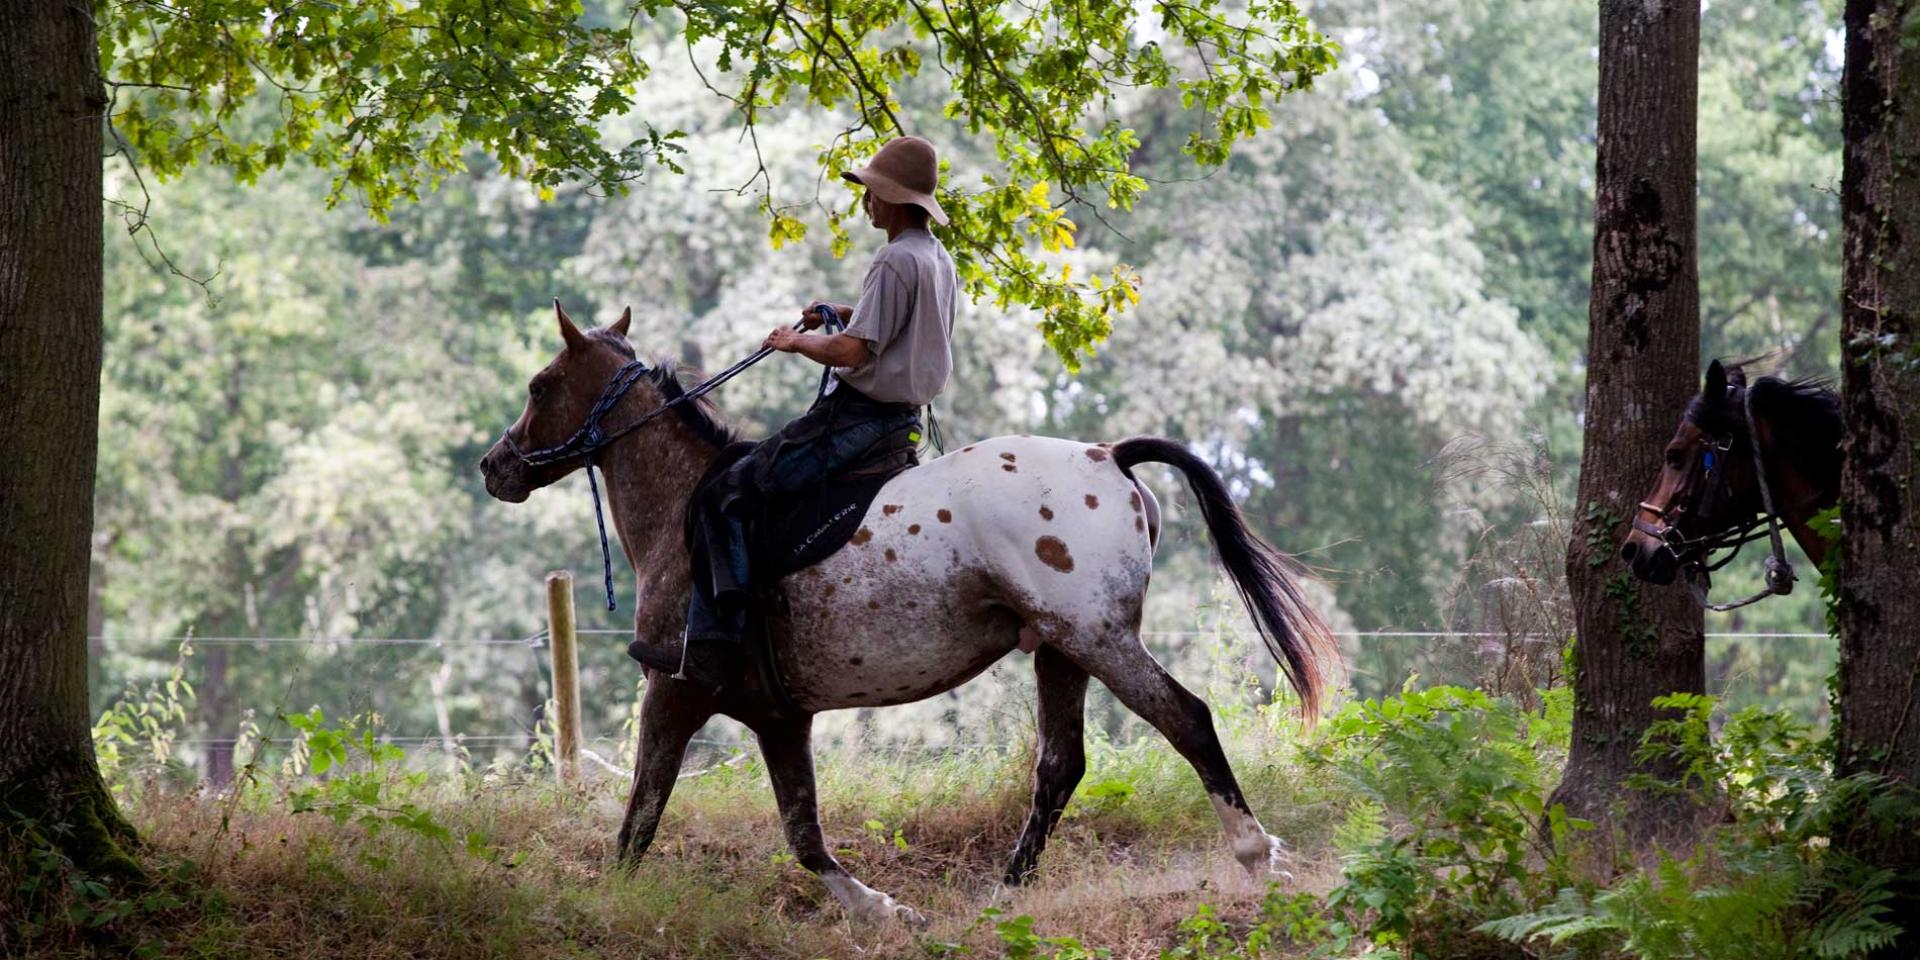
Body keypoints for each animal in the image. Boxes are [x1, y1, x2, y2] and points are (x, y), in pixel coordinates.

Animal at [480, 305, 1336, 921]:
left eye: (539, 385)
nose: (495, 467)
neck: (683, 511)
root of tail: (1107, 455)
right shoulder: (779, 717)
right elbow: (802, 832)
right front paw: (882, 911)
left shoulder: (676, 691)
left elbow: (641, 816)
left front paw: (609, 902)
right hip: (1061, 649)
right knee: (1060, 766)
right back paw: (1004, 893)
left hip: (1098, 639)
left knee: (1186, 718)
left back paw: (1256, 854)